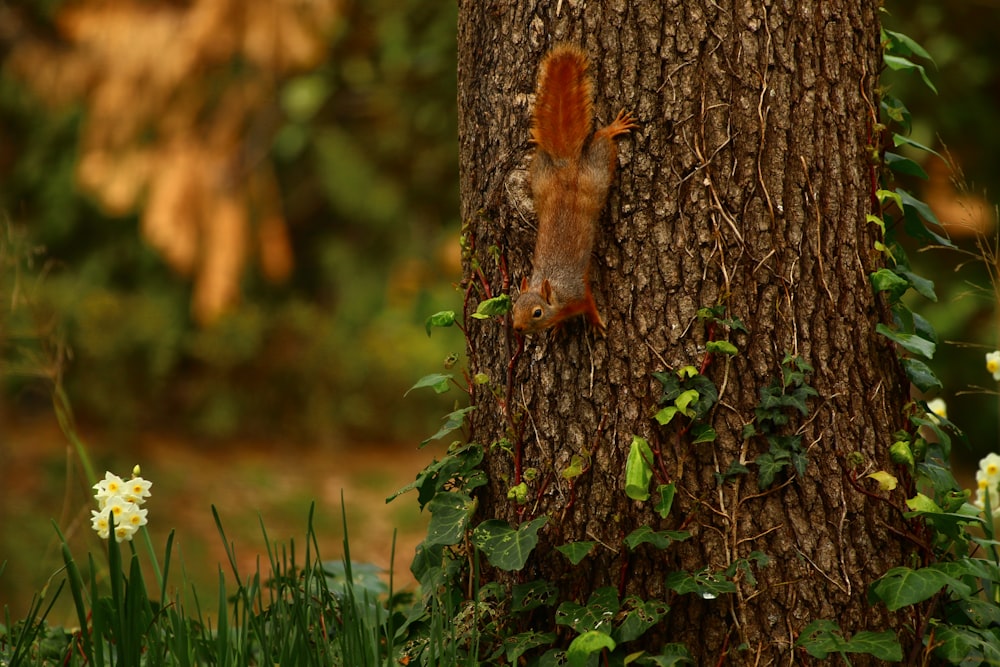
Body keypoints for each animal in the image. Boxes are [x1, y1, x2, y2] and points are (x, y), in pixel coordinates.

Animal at [512, 43, 636, 334]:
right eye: (514, 307)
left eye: (536, 312)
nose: (517, 328)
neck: (556, 294)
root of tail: (566, 168)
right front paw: (558, 327)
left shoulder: (578, 292)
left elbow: (589, 305)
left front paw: (596, 322)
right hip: (540, 173)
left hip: (597, 172)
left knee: (602, 140)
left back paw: (613, 129)